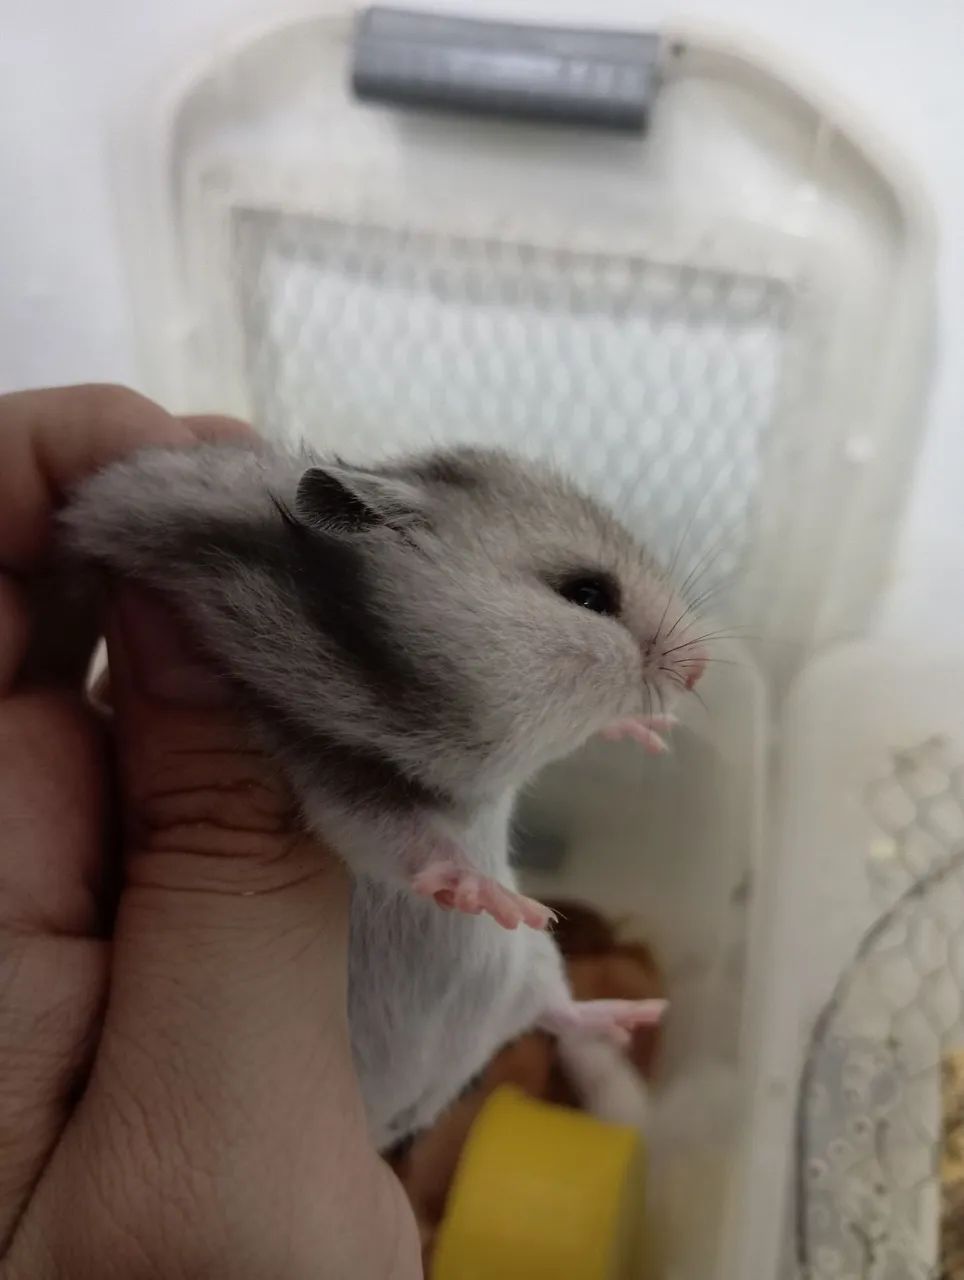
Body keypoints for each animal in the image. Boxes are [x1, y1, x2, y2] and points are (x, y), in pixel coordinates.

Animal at [63, 441, 708, 1148]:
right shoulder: (334, 783)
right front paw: (498, 898)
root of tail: (408, 1108)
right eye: (589, 594)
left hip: (528, 969)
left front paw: (653, 733)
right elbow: (409, 840)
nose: (701, 670)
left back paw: (633, 1017)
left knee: (557, 1011)